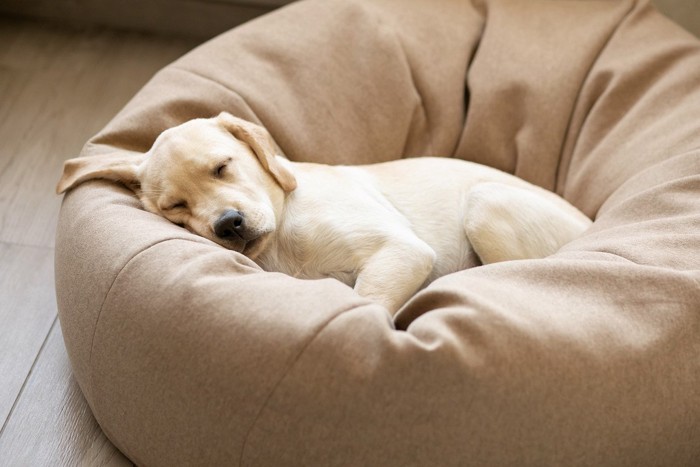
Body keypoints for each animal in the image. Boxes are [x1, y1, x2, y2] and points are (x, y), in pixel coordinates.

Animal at [57, 113, 592, 316]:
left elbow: (368, 300)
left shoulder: (400, 249)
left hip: (486, 204)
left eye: (222, 166)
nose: (228, 225)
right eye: (175, 207)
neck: (282, 238)